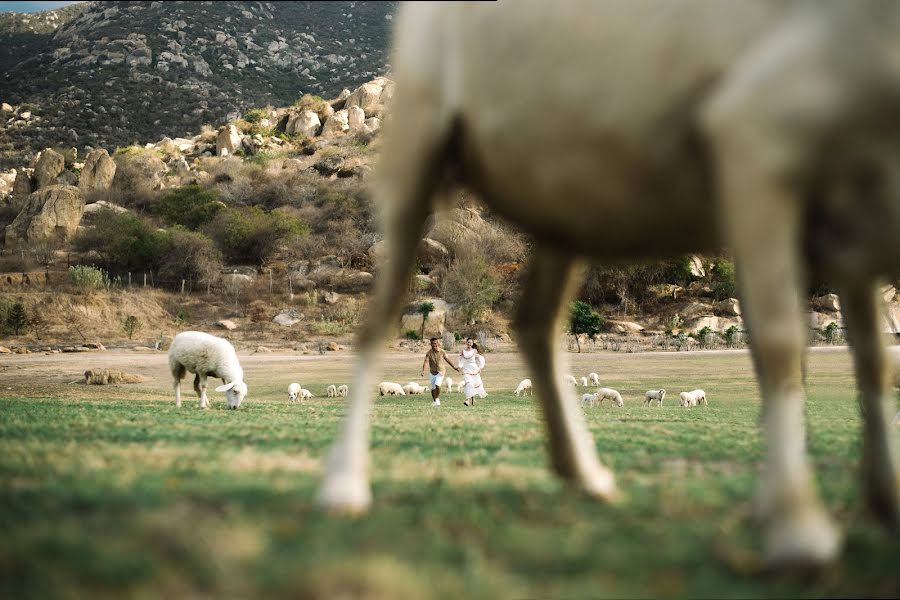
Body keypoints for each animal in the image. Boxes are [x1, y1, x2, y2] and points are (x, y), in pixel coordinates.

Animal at [320, 0, 900, 564]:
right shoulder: (756, 143)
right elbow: (781, 343)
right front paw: (798, 527)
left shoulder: (856, 228)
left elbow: (875, 360)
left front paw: (884, 501)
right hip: (420, 140)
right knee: (379, 317)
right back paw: (345, 486)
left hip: (566, 197)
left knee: (536, 324)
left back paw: (585, 475)